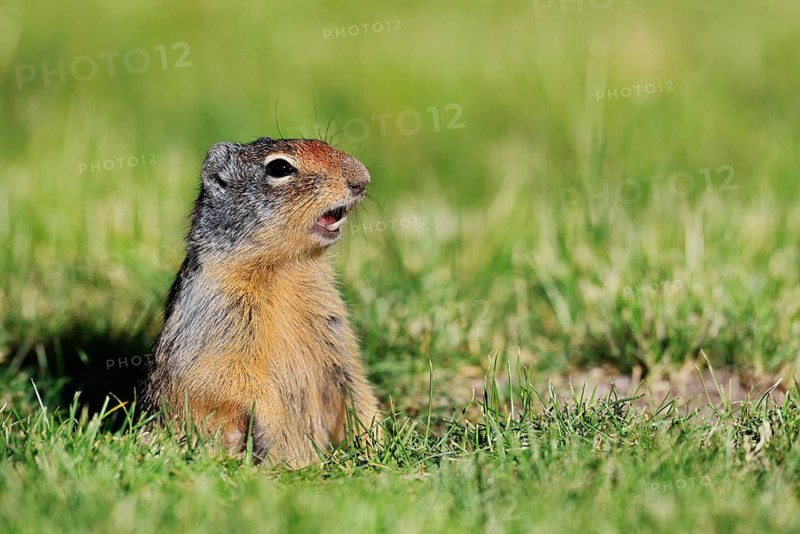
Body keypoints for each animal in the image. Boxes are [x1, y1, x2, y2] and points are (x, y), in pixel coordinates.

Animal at [145, 136, 380, 467]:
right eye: (279, 167)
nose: (362, 178)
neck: (287, 267)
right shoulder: (217, 312)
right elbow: (218, 374)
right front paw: (270, 432)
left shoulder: (335, 329)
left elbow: (354, 385)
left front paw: (374, 443)